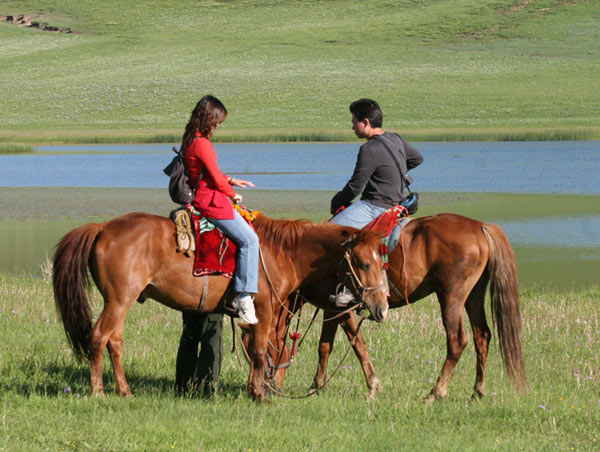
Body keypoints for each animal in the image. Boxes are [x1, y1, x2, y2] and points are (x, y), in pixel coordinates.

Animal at [51, 210, 390, 400]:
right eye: (363, 263)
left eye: (382, 262)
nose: (381, 307)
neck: (281, 252)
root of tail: (101, 227)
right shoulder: (264, 309)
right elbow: (259, 350)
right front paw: (259, 395)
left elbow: (262, 350)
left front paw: (256, 389)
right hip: (118, 300)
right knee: (99, 338)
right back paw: (98, 391)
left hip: (121, 302)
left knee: (115, 342)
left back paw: (124, 390)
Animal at [248, 214, 524, 400]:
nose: (271, 387)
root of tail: (480, 226)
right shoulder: (332, 309)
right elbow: (325, 346)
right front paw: (316, 385)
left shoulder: (342, 308)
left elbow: (357, 345)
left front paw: (372, 386)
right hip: (473, 295)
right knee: (482, 336)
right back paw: (478, 390)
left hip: (451, 297)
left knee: (457, 341)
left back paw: (436, 392)